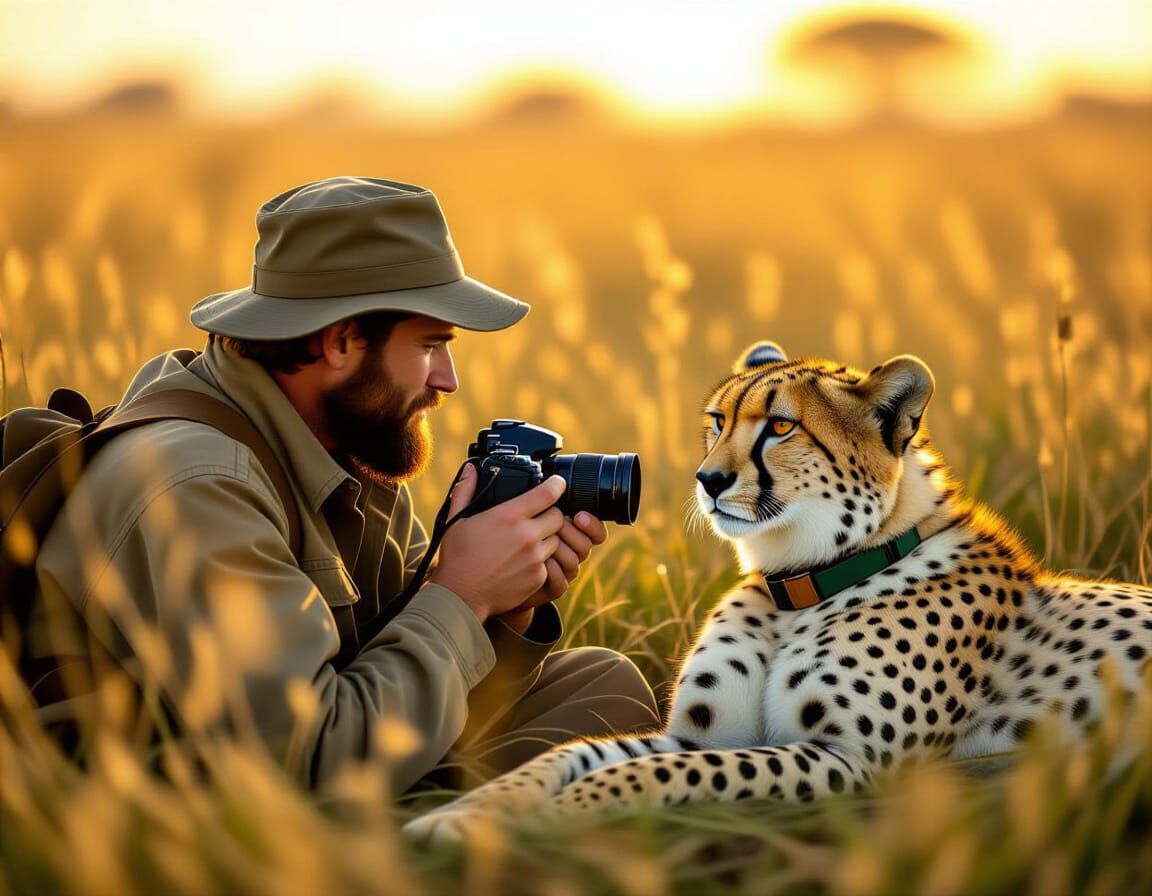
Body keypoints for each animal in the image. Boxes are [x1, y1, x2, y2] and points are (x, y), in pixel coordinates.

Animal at [404, 340, 1152, 843]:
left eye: (782, 427)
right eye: (717, 420)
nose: (707, 479)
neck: (799, 582)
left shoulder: (858, 764)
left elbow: (653, 775)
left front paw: (564, 812)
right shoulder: (699, 734)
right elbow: (573, 752)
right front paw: (468, 814)